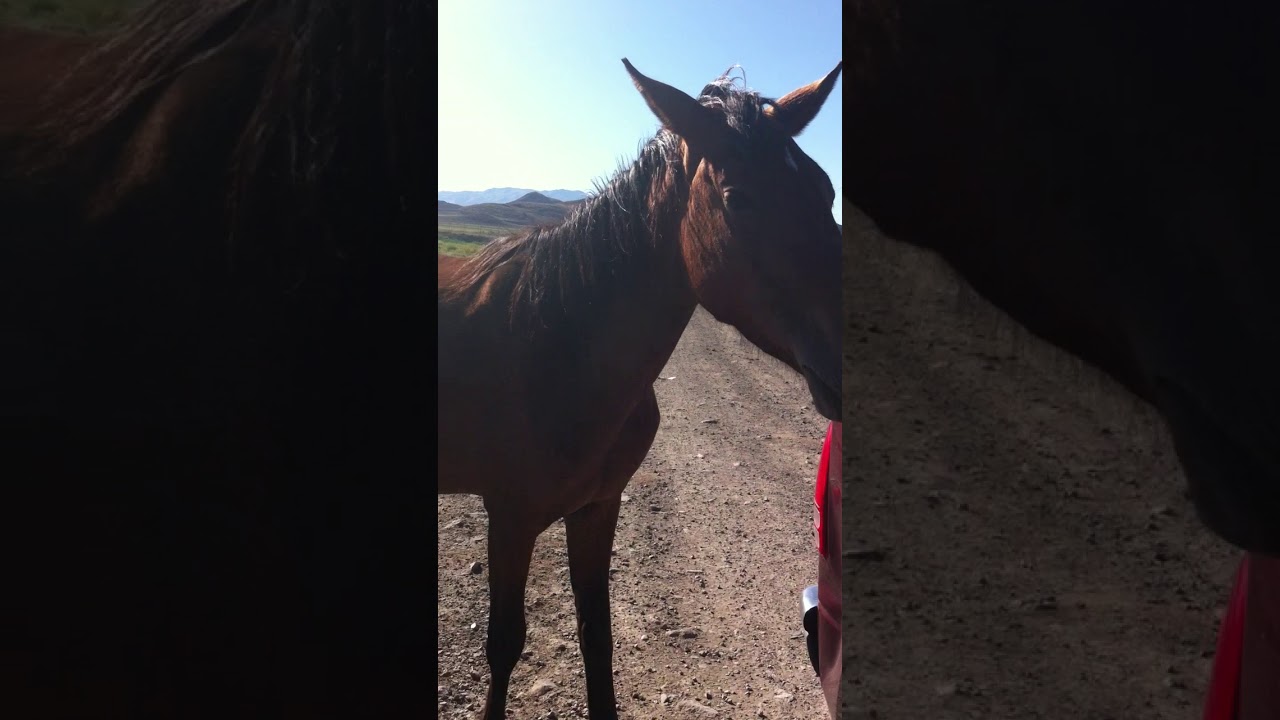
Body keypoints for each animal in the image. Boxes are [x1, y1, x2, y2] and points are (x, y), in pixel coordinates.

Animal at [437, 60, 843, 719]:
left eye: (825, 191)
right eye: (737, 198)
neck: (560, 346)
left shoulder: (598, 508)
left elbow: (597, 636)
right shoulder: (510, 516)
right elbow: (503, 646)